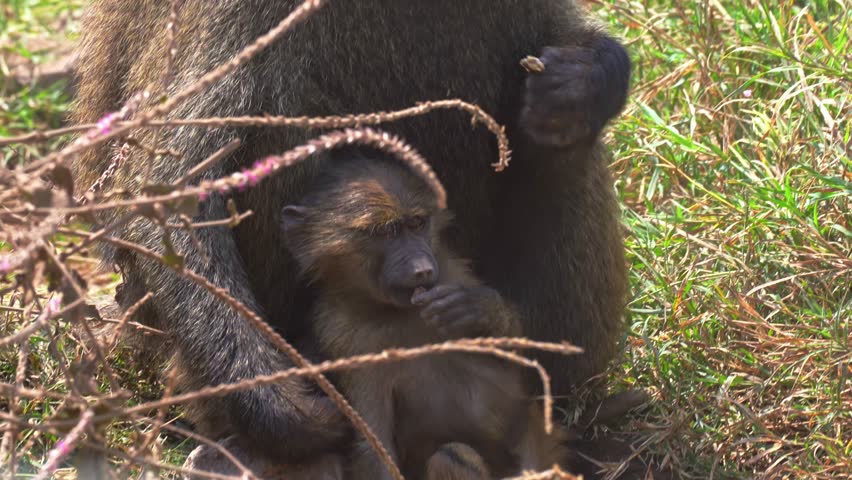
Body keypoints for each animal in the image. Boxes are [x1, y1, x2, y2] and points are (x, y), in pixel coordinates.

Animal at [279, 154, 569, 480]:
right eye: (384, 233)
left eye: (416, 223)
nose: (422, 270)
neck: (399, 312)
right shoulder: (344, 337)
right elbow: (373, 444)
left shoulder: (454, 275)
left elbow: (529, 370)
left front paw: (478, 312)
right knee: (451, 453)